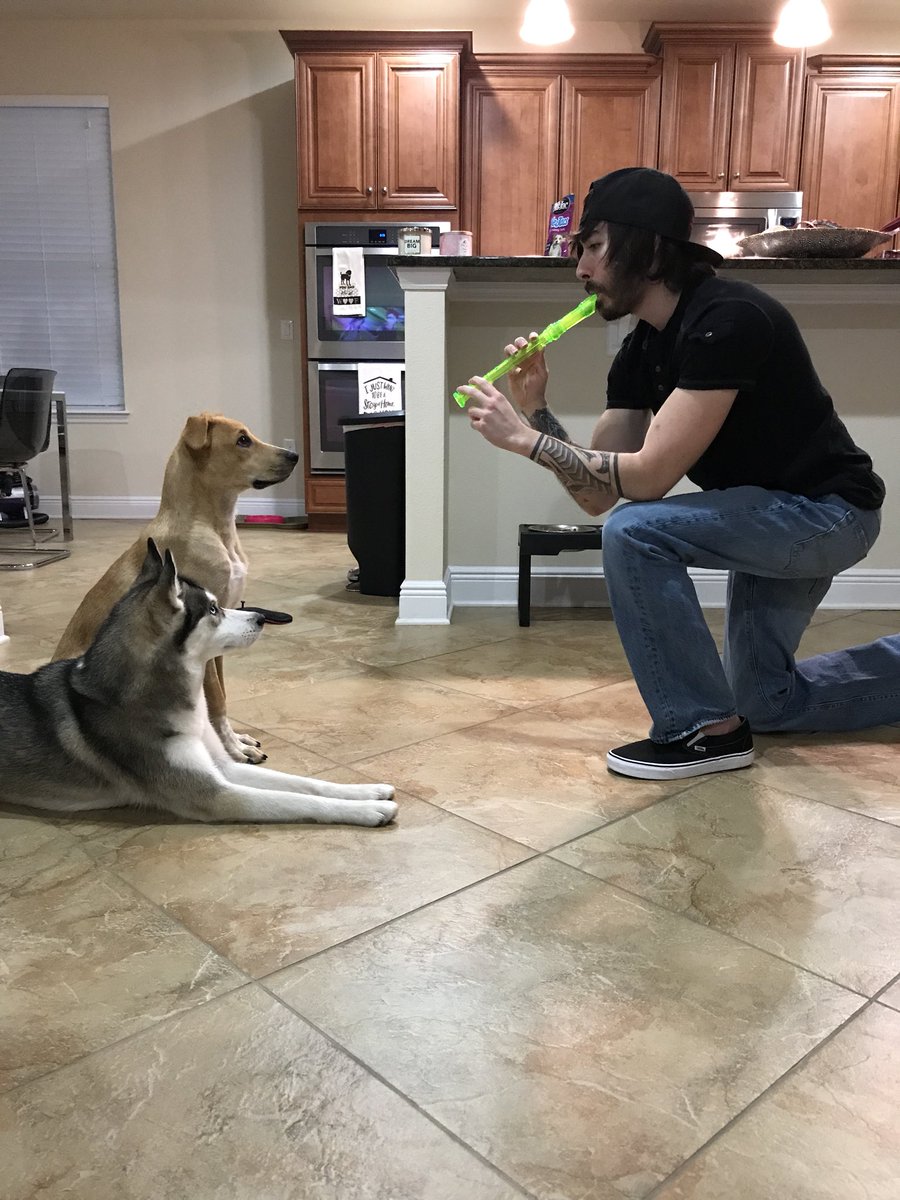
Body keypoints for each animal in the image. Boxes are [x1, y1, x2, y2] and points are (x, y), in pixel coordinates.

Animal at [2, 541, 397, 826]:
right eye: (212, 610)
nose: (259, 617)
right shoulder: (214, 794)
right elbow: (295, 799)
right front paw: (366, 811)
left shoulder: (223, 767)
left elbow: (305, 782)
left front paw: (367, 791)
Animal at [53, 412, 297, 765]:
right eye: (242, 440)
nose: (294, 455)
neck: (215, 528)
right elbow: (217, 700)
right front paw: (233, 750)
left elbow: (221, 697)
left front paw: (233, 740)